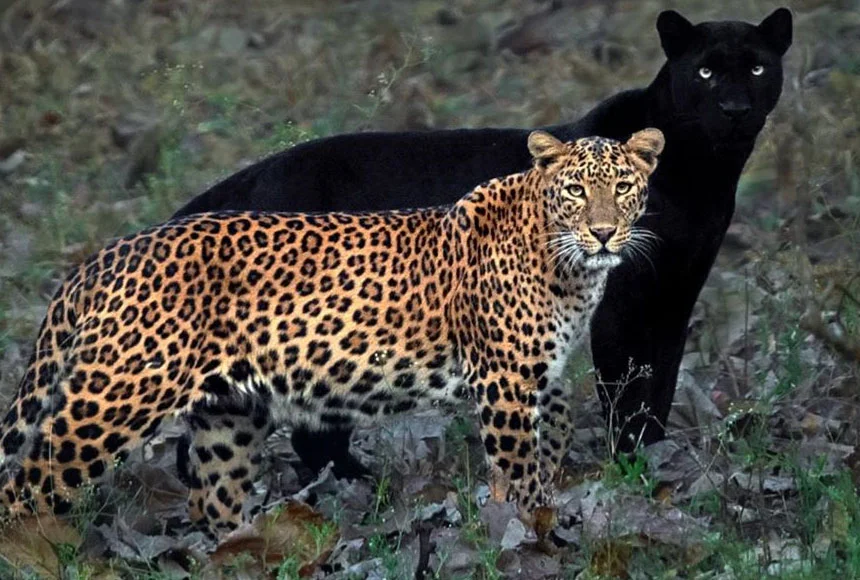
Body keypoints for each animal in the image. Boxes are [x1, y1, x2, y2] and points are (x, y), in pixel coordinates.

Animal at [0, 129, 663, 537]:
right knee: (25, 484)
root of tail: (105, 255)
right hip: (113, 398)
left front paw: (542, 515)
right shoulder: (505, 382)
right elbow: (521, 470)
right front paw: (532, 534)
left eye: (623, 188)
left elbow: (549, 448)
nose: (604, 232)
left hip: (228, 415)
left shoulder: (540, 378)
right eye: (576, 189)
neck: (571, 269)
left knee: (212, 499)